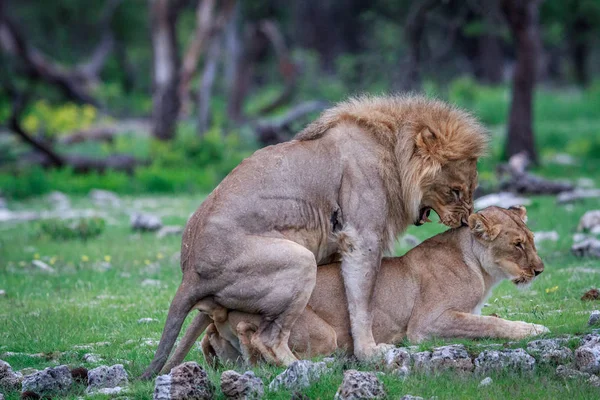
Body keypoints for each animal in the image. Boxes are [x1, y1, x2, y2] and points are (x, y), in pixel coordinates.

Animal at [142, 94, 488, 378]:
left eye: (471, 189)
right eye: (456, 191)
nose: (467, 221)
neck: (393, 149)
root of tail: (189, 273)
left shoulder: (336, 245)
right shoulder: (362, 237)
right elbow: (363, 302)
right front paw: (369, 352)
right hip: (300, 260)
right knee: (268, 338)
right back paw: (307, 368)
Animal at [196, 206, 548, 366]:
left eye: (532, 239)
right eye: (517, 244)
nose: (540, 270)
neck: (481, 268)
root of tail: (223, 311)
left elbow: (486, 319)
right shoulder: (427, 323)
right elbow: (489, 323)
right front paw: (533, 330)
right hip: (321, 332)